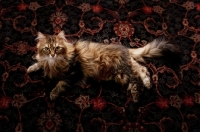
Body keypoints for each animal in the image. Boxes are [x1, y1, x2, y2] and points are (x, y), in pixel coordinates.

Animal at [26, 30, 178, 102]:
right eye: (47, 49)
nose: (52, 55)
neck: (53, 63)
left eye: (57, 48)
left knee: (137, 78)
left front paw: (52, 94)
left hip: (123, 70)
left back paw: (136, 96)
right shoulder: (46, 62)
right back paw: (147, 84)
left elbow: (60, 83)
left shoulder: (73, 73)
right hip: (123, 73)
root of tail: (125, 49)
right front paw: (31, 68)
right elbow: (39, 63)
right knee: (143, 69)